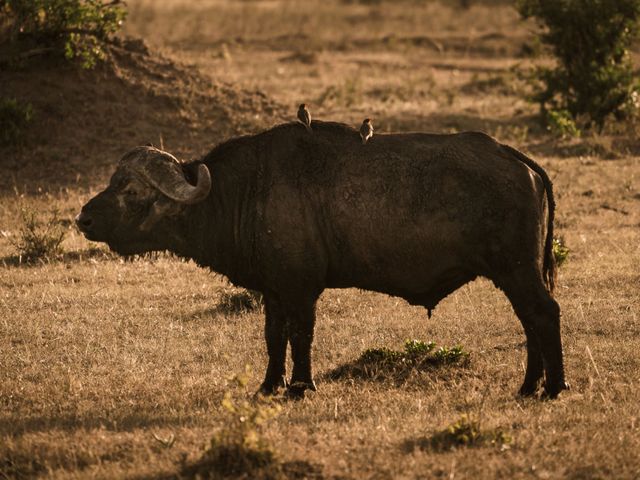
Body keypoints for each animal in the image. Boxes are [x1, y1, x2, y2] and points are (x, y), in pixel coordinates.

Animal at [76, 122, 568, 400]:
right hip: (516, 273)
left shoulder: (301, 290)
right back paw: (529, 386)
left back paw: (553, 387)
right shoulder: (273, 291)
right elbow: (273, 338)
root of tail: (512, 157)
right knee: (529, 322)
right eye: (113, 181)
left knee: (543, 315)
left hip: (517, 270)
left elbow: (301, 337)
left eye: (131, 190)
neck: (245, 192)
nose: (83, 218)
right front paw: (269, 384)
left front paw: (300, 386)